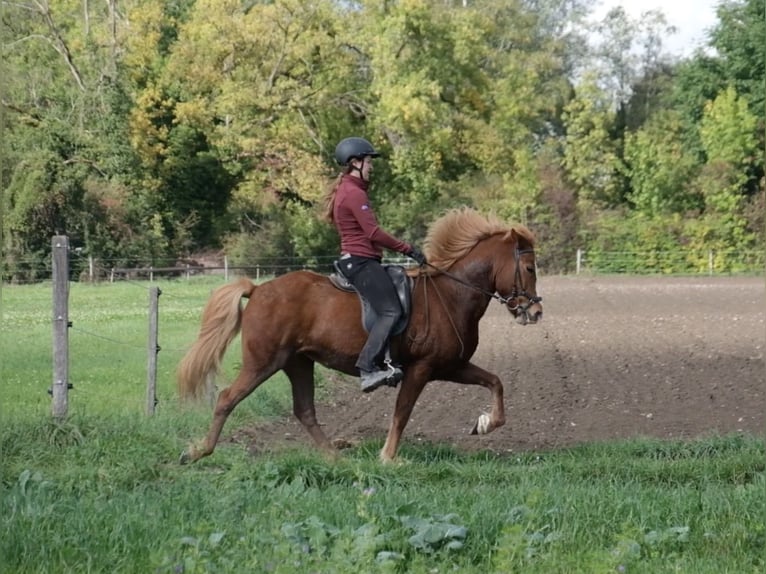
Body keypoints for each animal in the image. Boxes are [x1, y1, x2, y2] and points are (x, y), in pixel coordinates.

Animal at [177, 207, 543, 464]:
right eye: (529, 268)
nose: (536, 312)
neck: (452, 295)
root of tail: (257, 289)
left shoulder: (449, 366)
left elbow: (495, 382)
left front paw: (485, 424)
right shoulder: (421, 369)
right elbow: (402, 412)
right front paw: (389, 458)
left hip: (297, 363)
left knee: (304, 411)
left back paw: (336, 458)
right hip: (263, 363)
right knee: (228, 399)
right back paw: (197, 452)